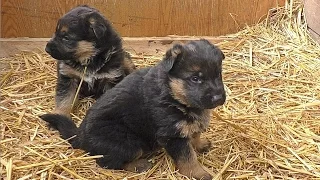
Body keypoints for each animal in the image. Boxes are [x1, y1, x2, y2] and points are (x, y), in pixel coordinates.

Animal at [40, 39, 225, 180]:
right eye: (195, 78)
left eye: (218, 75)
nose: (218, 98)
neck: (172, 93)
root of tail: (80, 136)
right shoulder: (172, 135)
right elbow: (187, 157)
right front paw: (199, 173)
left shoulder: (184, 126)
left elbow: (194, 133)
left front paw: (200, 144)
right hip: (130, 143)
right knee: (107, 162)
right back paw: (139, 165)